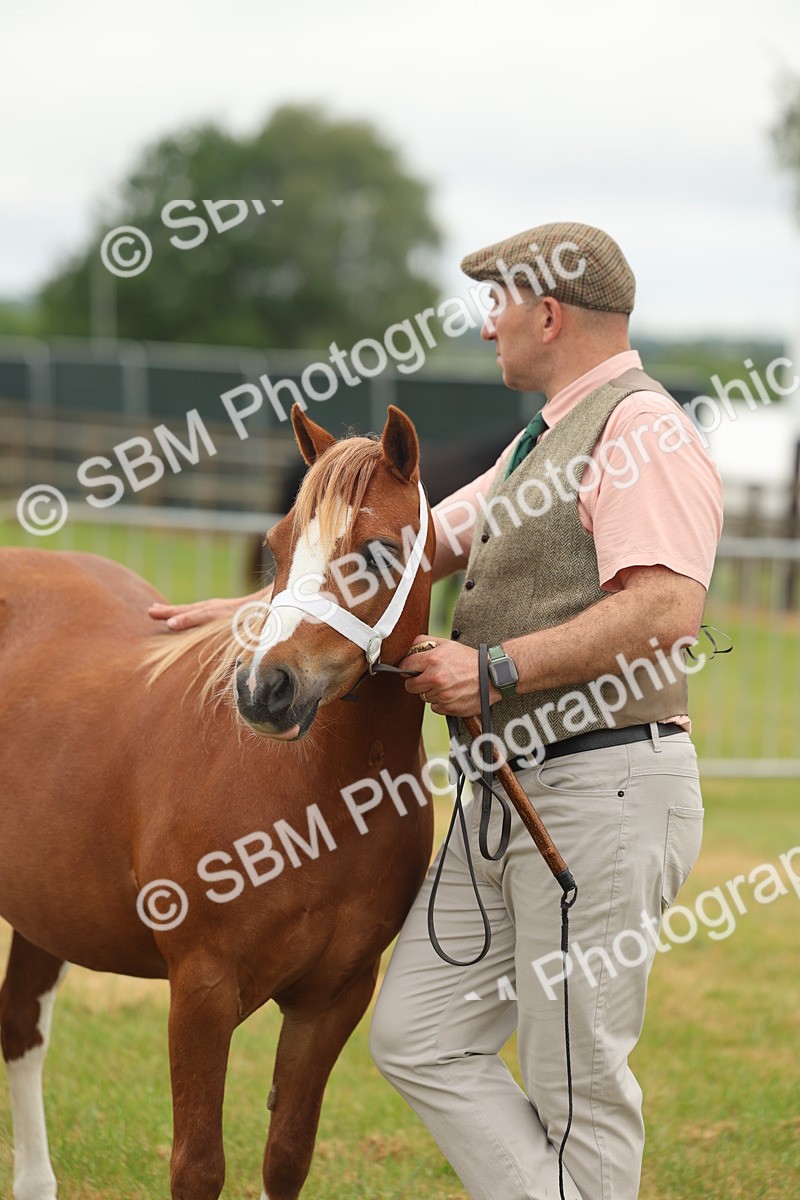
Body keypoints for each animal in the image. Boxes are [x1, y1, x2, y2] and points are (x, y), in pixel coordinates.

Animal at [0, 404, 435, 1200]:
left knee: (21, 1028)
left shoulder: (333, 1000)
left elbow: (287, 1156)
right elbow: (198, 1166)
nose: (265, 689)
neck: (316, 801)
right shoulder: (200, 993)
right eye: (275, 548)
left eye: (378, 552)